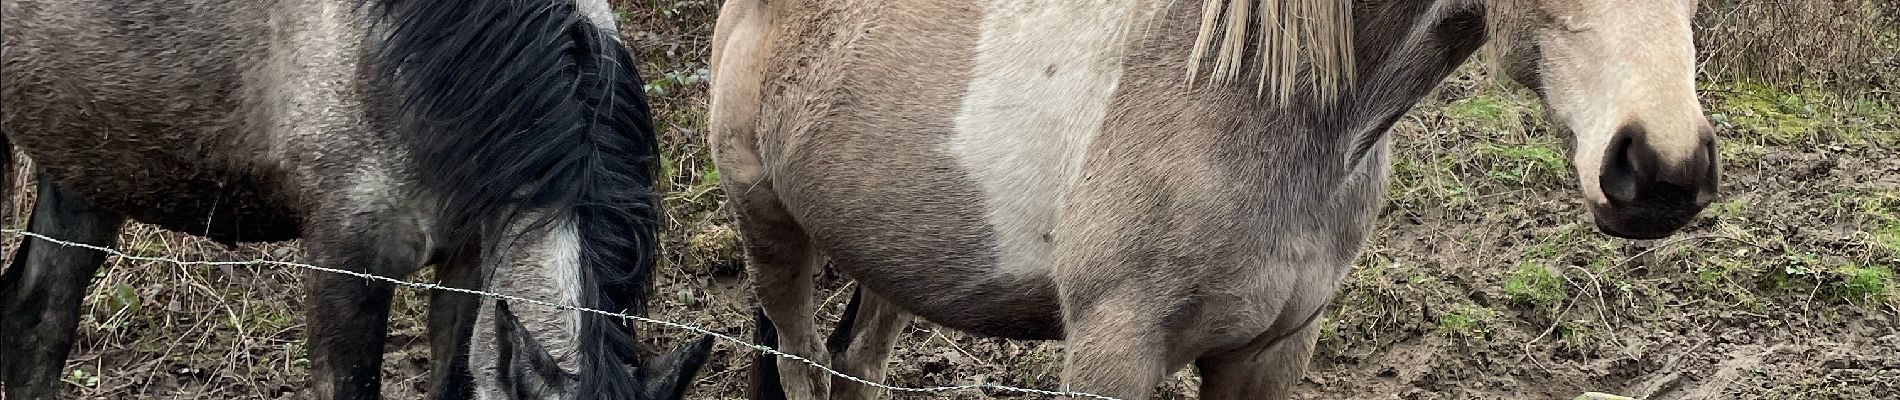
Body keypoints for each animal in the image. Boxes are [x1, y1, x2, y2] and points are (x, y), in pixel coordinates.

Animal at [714, 0, 1725, 400]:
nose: (1662, 166)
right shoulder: (1114, 352)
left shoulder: (1271, 351)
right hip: (769, 230)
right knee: (803, 364)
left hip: (898, 260)